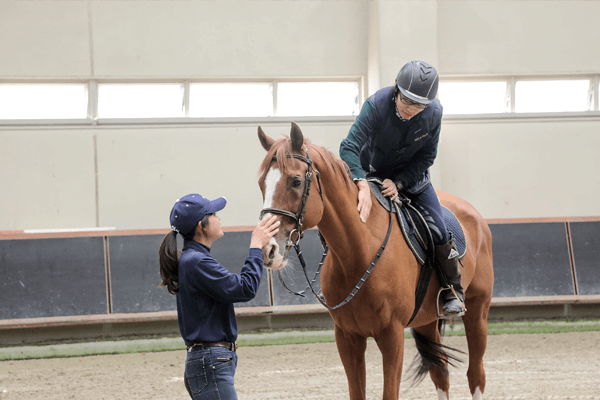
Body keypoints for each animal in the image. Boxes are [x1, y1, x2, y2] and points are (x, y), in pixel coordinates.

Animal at [255, 122, 494, 400]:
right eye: (261, 184)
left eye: (295, 181)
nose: (267, 249)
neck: (359, 252)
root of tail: (475, 216)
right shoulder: (347, 337)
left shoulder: (391, 336)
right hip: (428, 321)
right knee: (440, 373)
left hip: (477, 311)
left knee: (475, 374)